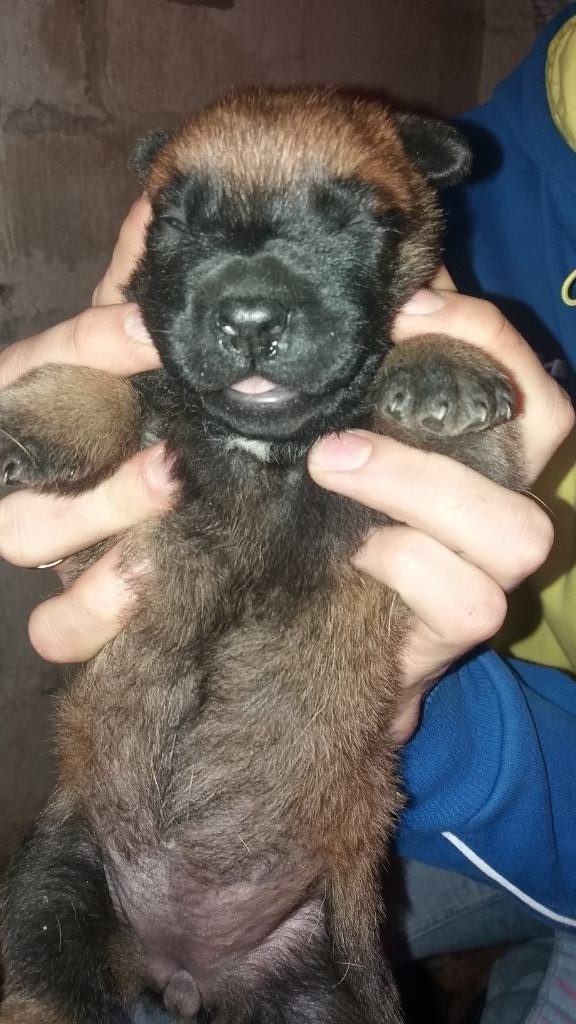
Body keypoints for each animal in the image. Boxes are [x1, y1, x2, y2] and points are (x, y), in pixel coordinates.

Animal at [0, 88, 522, 1024]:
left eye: (357, 222)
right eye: (174, 224)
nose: (248, 318)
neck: (264, 449)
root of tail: (181, 970)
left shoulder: (455, 486)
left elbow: (441, 415)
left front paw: (441, 360)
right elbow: (115, 384)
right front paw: (35, 413)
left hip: (326, 978)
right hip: (53, 901)